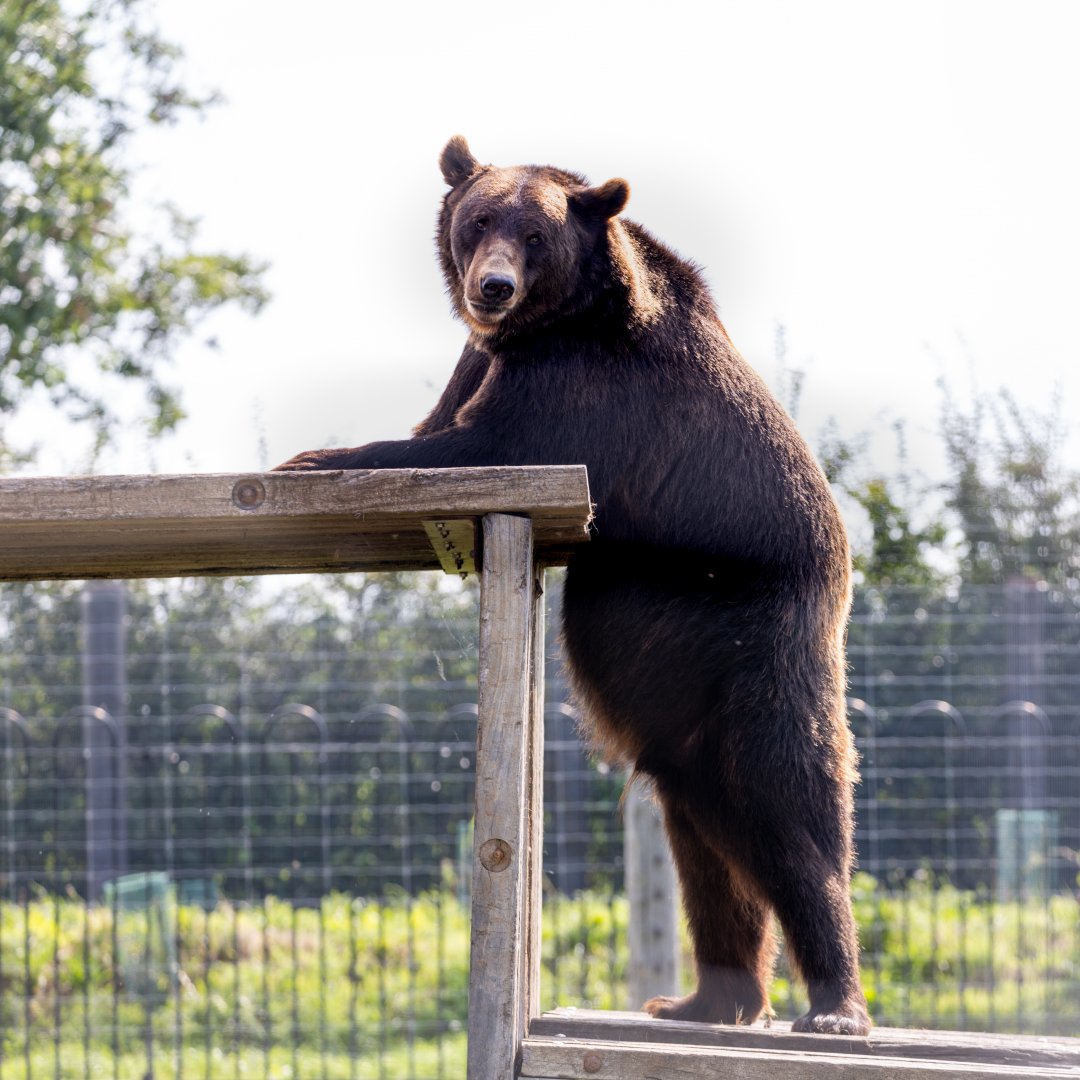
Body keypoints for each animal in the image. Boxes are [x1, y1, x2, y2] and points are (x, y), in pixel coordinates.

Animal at [276, 136, 871, 1036]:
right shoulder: (486, 359)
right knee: (707, 843)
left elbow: (474, 446)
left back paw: (834, 1004)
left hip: (757, 645)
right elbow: (440, 425)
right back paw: (706, 998)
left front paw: (307, 457)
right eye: (479, 220)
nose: (492, 287)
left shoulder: (585, 385)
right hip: (687, 705)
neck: (549, 323)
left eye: (534, 235)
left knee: (788, 811)